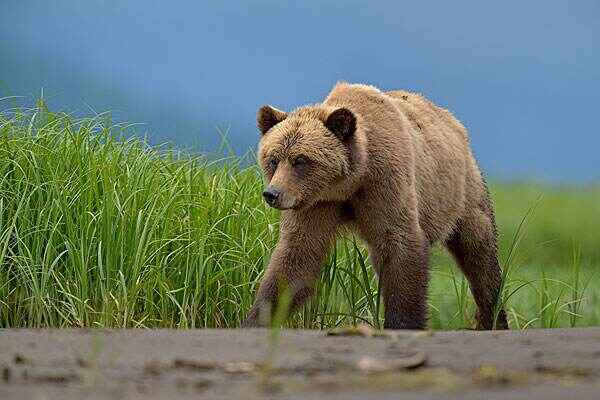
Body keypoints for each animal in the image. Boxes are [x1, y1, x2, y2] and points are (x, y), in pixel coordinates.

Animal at [241, 83, 508, 330]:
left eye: (300, 160)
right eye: (273, 159)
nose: (272, 194)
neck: (349, 182)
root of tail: (452, 119)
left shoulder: (385, 182)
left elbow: (400, 244)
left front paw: (403, 323)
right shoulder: (316, 203)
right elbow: (297, 256)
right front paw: (257, 318)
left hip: (461, 192)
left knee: (479, 254)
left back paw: (493, 318)